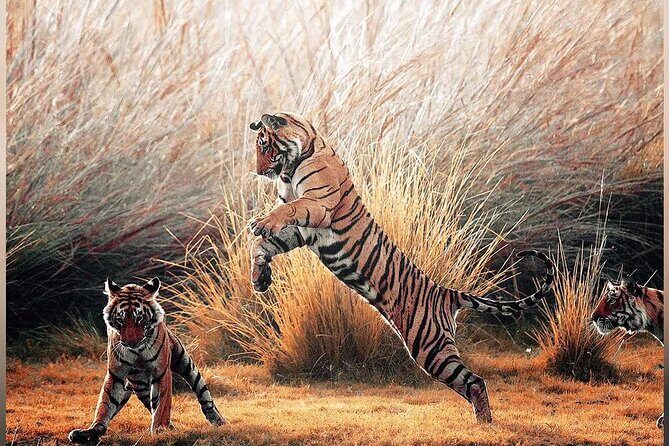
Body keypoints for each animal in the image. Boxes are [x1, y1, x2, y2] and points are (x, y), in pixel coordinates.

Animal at [68, 278, 225, 444]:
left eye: (140, 318)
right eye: (120, 320)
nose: (130, 343)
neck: (138, 351)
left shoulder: (161, 372)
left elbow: (162, 404)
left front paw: (159, 430)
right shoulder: (116, 374)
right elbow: (105, 404)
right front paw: (91, 430)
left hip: (184, 363)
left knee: (202, 392)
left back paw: (218, 420)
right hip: (138, 384)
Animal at [247, 112, 554, 423]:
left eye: (265, 146)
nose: (259, 172)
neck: (293, 165)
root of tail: (445, 293)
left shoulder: (318, 206)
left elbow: (286, 210)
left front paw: (260, 224)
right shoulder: (300, 232)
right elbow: (262, 245)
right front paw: (260, 277)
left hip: (430, 347)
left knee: (475, 381)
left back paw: (484, 425)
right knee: (470, 383)